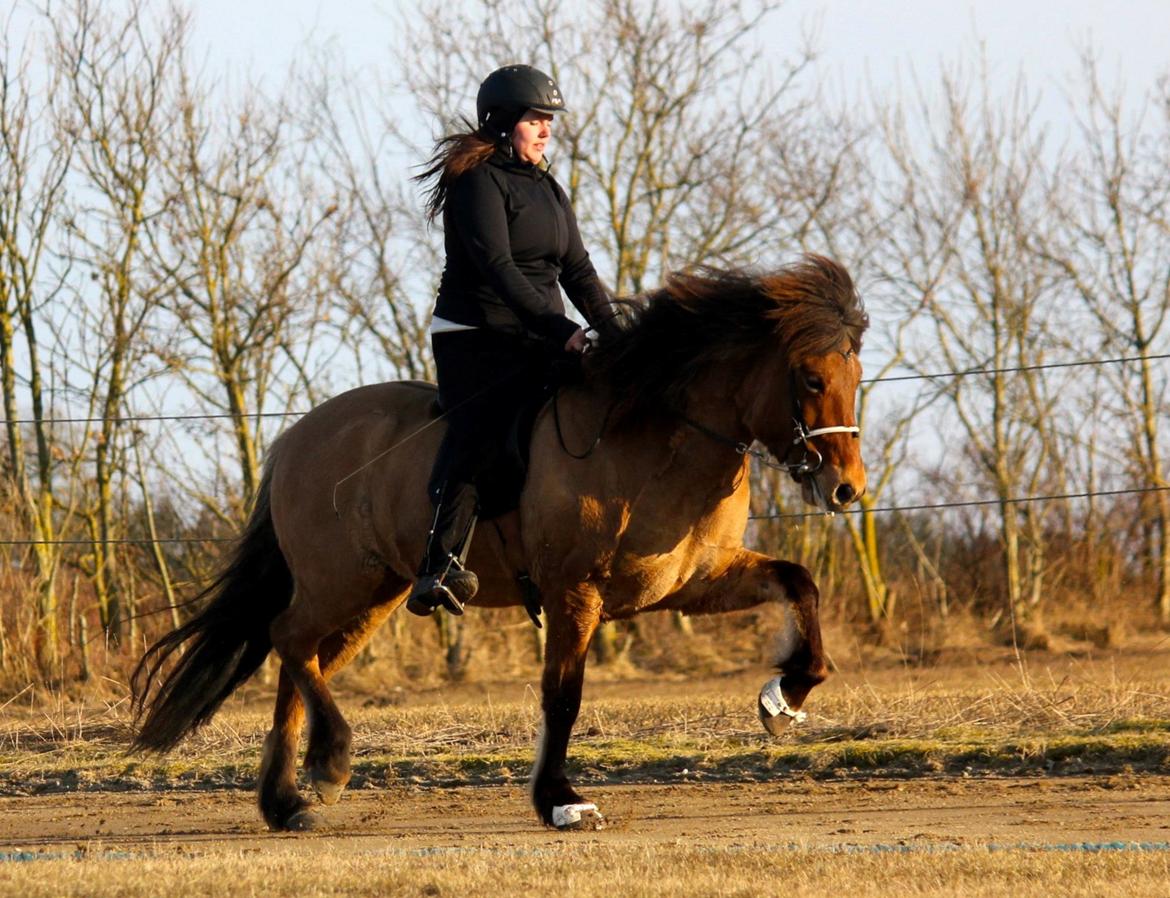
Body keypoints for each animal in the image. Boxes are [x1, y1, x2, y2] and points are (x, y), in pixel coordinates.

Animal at [130, 250, 870, 827]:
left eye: (856, 378)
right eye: (811, 378)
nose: (846, 489)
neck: (658, 433)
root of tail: (295, 438)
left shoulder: (690, 583)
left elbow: (799, 583)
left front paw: (784, 699)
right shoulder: (575, 592)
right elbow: (562, 696)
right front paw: (560, 801)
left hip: (373, 594)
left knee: (302, 657)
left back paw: (288, 801)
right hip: (341, 583)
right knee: (288, 638)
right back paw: (329, 763)